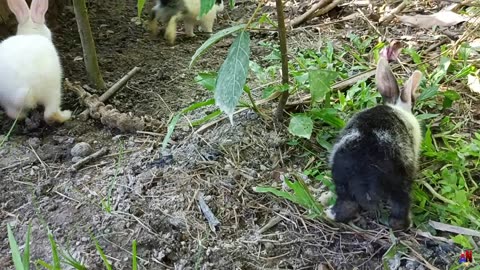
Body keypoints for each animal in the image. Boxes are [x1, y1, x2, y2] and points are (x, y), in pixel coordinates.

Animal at [324, 57, 422, 230]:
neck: (397, 107)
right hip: (400, 181)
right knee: (399, 211)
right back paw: (407, 223)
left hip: (342, 182)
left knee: (346, 207)